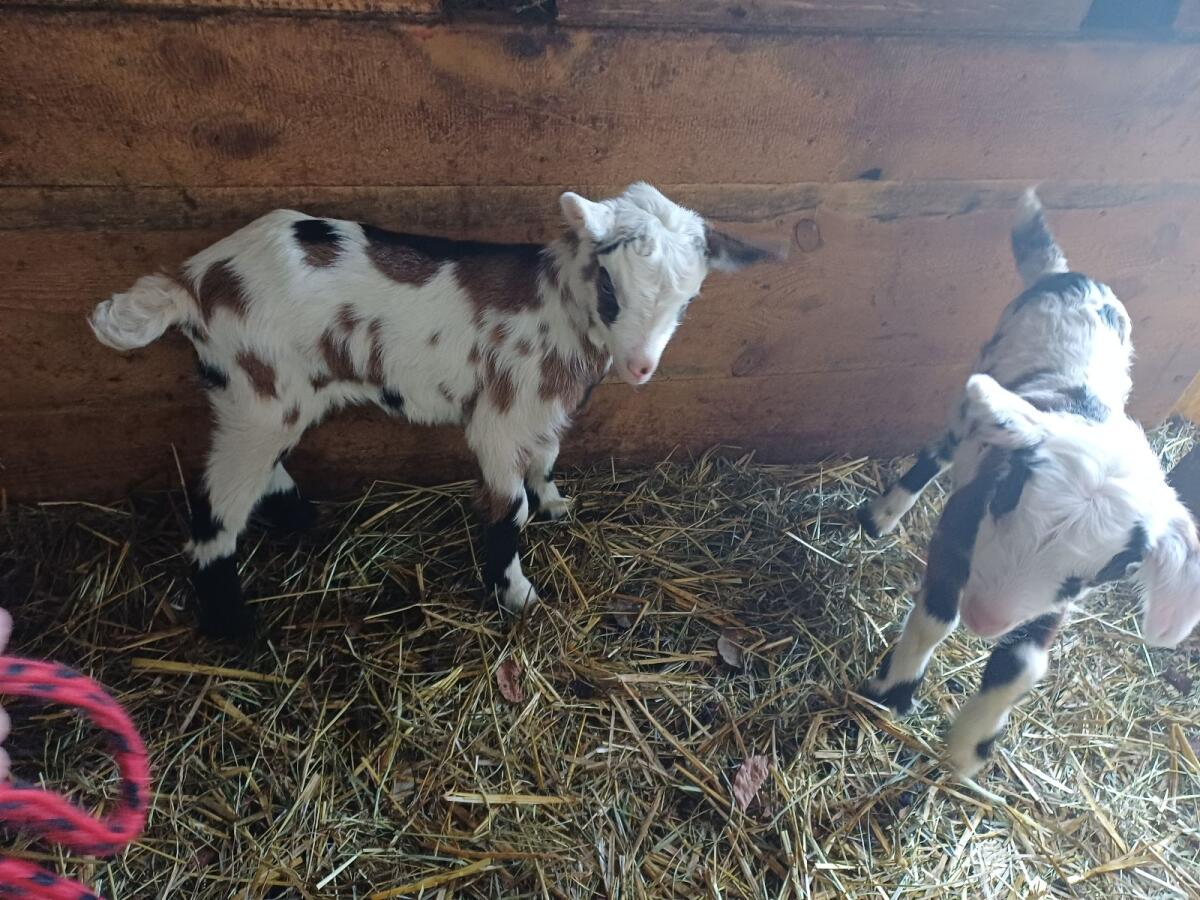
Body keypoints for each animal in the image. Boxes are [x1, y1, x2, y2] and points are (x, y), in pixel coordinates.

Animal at [89, 183, 773, 641]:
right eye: (611, 286)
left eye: (689, 299)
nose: (640, 367)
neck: (554, 307)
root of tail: (195, 281)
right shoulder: (498, 418)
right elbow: (509, 508)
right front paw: (515, 593)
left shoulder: (541, 409)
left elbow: (548, 455)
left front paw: (555, 505)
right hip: (259, 392)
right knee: (215, 511)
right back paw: (236, 628)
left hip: (271, 396)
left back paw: (303, 520)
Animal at [857, 190, 1200, 777]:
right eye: (1006, 494)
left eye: (1117, 568)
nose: (985, 617)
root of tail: (1066, 274)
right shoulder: (959, 527)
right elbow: (935, 616)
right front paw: (895, 690)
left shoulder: (1056, 603)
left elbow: (1021, 663)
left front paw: (971, 747)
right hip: (971, 397)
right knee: (937, 453)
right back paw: (883, 516)